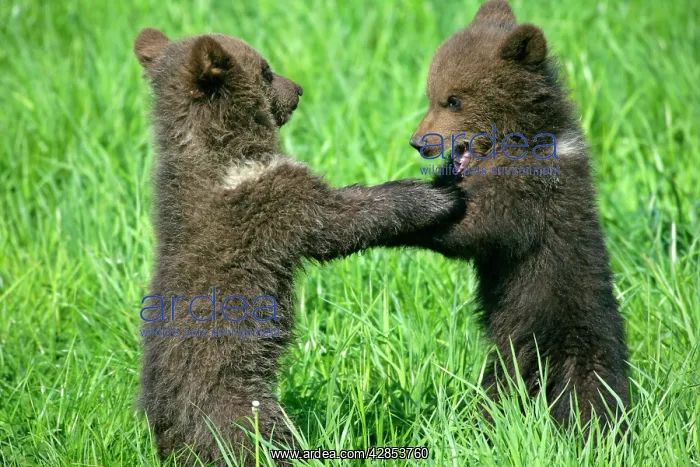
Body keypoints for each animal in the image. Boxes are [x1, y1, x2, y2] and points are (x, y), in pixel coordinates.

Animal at [134, 28, 465, 466]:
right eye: (266, 70)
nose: (299, 88)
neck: (220, 151)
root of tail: (166, 418)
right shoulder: (273, 201)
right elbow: (340, 219)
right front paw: (434, 196)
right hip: (234, 400)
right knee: (258, 438)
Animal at [400, 0, 630, 434]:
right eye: (431, 95)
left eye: (453, 100)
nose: (420, 143)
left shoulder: (530, 197)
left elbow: (476, 229)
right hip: (514, 355)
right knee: (500, 392)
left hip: (566, 338)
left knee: (590, 399)